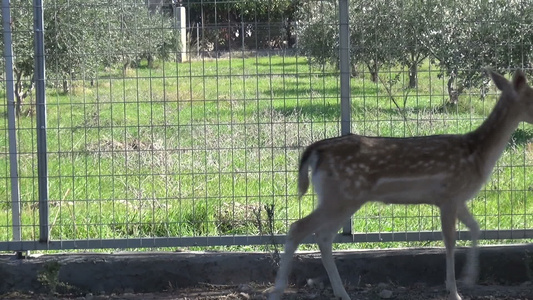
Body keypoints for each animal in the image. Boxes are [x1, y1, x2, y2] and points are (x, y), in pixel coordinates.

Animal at [266, 69, 532, 300]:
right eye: (532, 95)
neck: (478, 155)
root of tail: (315, 152)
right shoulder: (448, 194)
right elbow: (450, 240)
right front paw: (454, 291)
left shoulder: (458, 199)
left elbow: (476, 228)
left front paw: (468, 279)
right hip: (342, 196)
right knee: (299, 228)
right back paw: (277, 291)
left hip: (342, 198)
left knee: (323, 236)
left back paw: (342, 293)